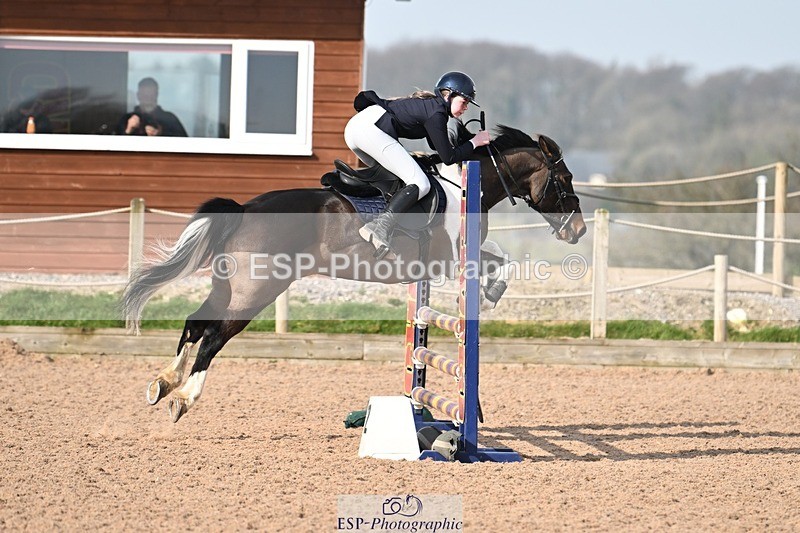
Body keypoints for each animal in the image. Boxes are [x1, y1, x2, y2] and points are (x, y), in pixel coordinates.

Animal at [122, 122, 587, 422]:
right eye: (565, 178)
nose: (578, 230)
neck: (467, 186)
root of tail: (243, 209)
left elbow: (497, 256)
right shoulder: (453, 260)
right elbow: (498, 260)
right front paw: (491, 291)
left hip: (229, 286)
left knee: (196, 323)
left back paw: (163, 383)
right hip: (257, 291)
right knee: (215, 336)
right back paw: (183, 398)